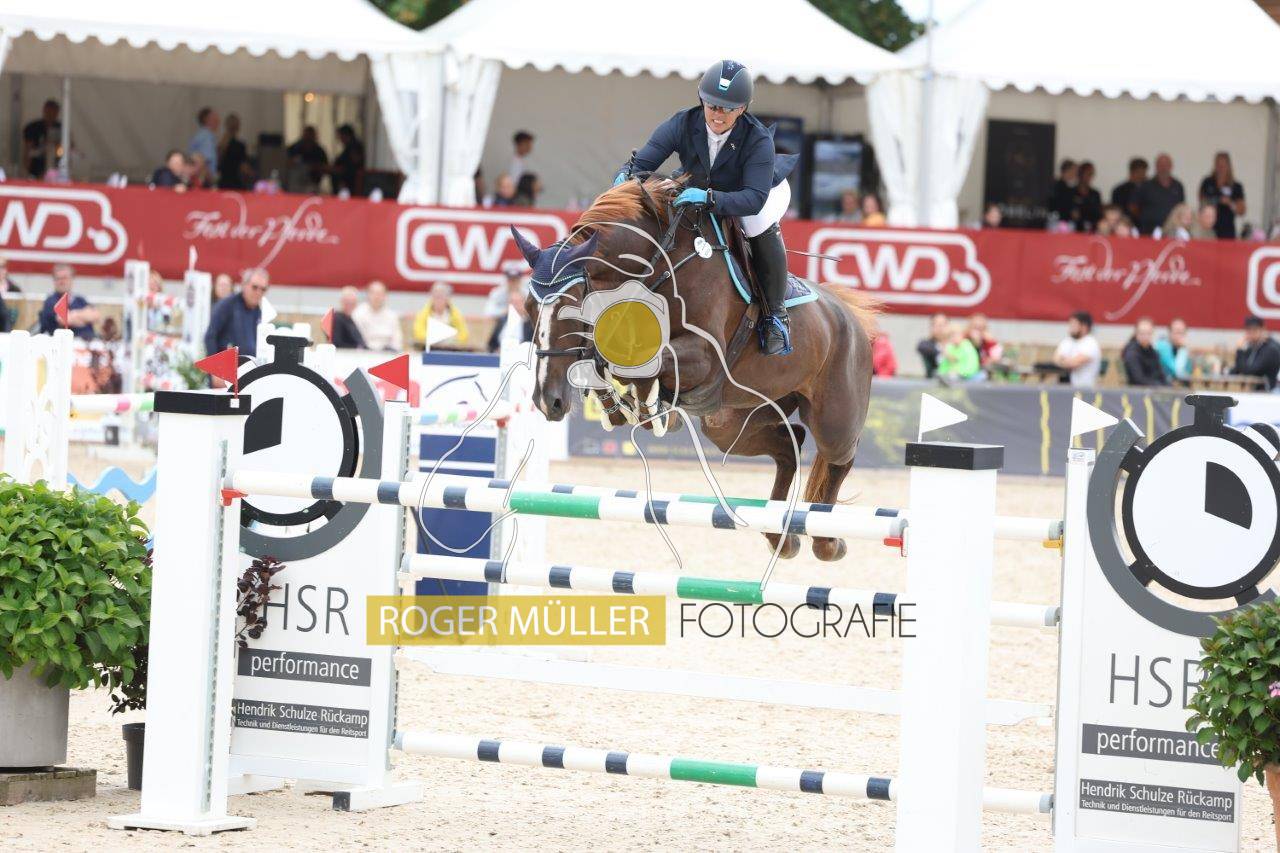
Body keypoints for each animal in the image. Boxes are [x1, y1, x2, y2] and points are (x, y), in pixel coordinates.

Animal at [513, 177, 875, 562]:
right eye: (528, 306)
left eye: (572, 305)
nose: (547, 401)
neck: (655, 264)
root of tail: (850, 316)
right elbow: (608, 361)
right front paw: (627, 408)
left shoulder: (704, 355)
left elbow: (642, 362)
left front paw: (651, 408)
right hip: (731, 423)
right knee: (788, 446)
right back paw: (781, 536)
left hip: (833, 418)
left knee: (838, 457)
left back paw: (826, 542)